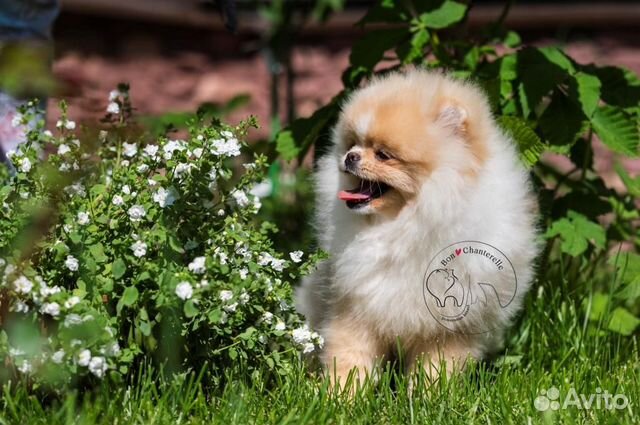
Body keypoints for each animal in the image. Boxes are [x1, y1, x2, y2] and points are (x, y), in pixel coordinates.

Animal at [296, 68, 540, 386]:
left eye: (383, 154)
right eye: (352, 144)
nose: (349, 157)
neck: (401, 227)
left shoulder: (449, 326)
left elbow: (435, 369)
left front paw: (428, 395)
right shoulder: (355, 306)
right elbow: (350, 359)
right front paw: (341, 393)